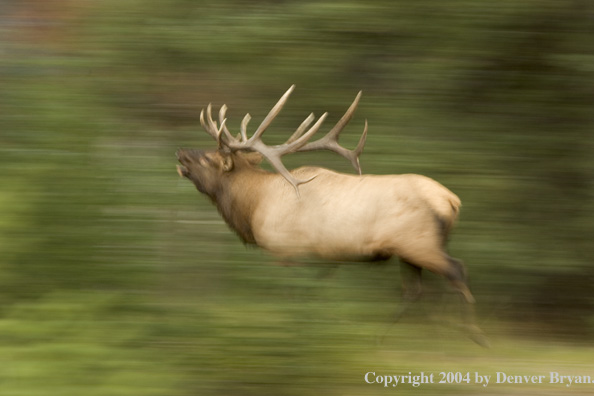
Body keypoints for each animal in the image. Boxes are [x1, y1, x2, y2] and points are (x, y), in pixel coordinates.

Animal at [175, 85, 486, 344]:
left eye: (207, 158)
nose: (180, 152)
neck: (254, 206)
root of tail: (450, 201)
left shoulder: (285, 249)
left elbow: (290, 294)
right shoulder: (325, 258)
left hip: (418, 242)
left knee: (456, 271)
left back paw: (473, 335)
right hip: (410, 249)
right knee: (415, 290)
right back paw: (383, 337)